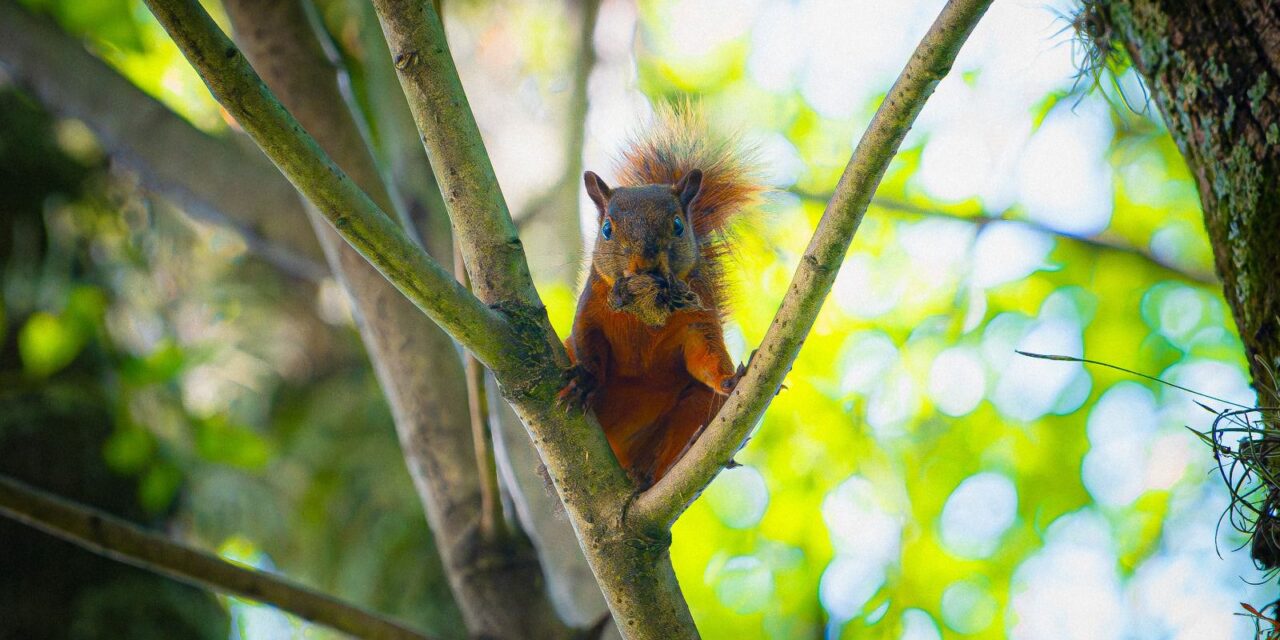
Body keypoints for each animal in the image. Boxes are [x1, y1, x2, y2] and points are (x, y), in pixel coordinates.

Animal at [558, 104, 757, 486]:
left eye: (678, 224)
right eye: (607, 229)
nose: (645, 262)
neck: (645, 311)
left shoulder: (697, 322)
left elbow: (705, 356)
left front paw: (729, 378)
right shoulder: (590, 312)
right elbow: (587, 344)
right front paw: (586, 380)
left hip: (694, 406)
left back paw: (654, 473)